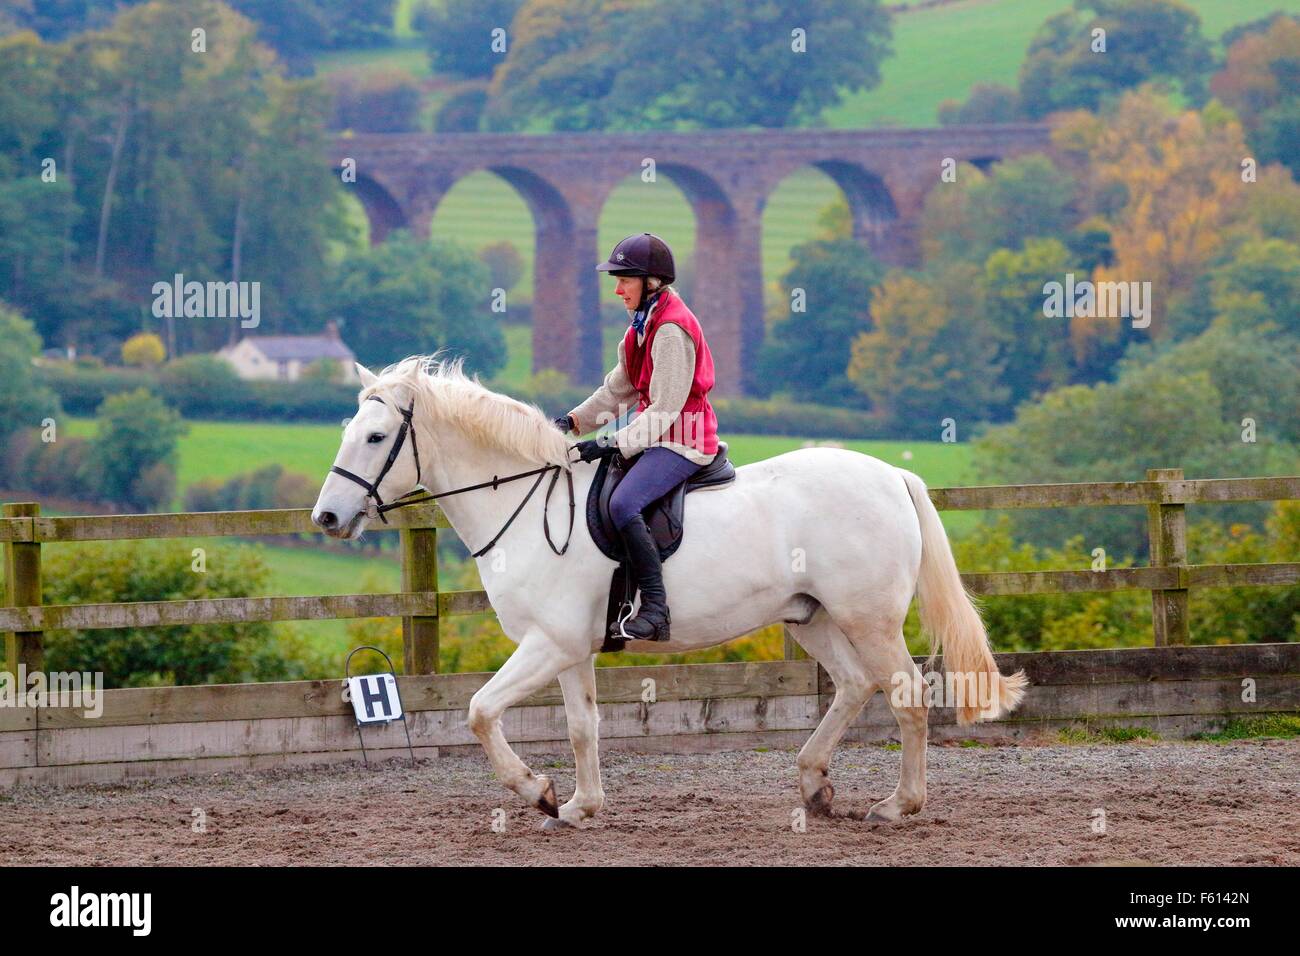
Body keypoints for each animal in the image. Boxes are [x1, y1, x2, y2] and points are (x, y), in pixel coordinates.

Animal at [312, 358, 1024, 832]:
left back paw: (899, 804)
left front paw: (537, 792)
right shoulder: (570, 649)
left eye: (376, 437)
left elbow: (481, 711)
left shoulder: (549, 644)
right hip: (812, 618)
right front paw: (580, 806)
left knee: (906, 695)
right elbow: (582, 726)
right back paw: (814, 785)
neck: (525, 502)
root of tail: (893, 475)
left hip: (867, 619)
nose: (327, 518)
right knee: (853, 686)